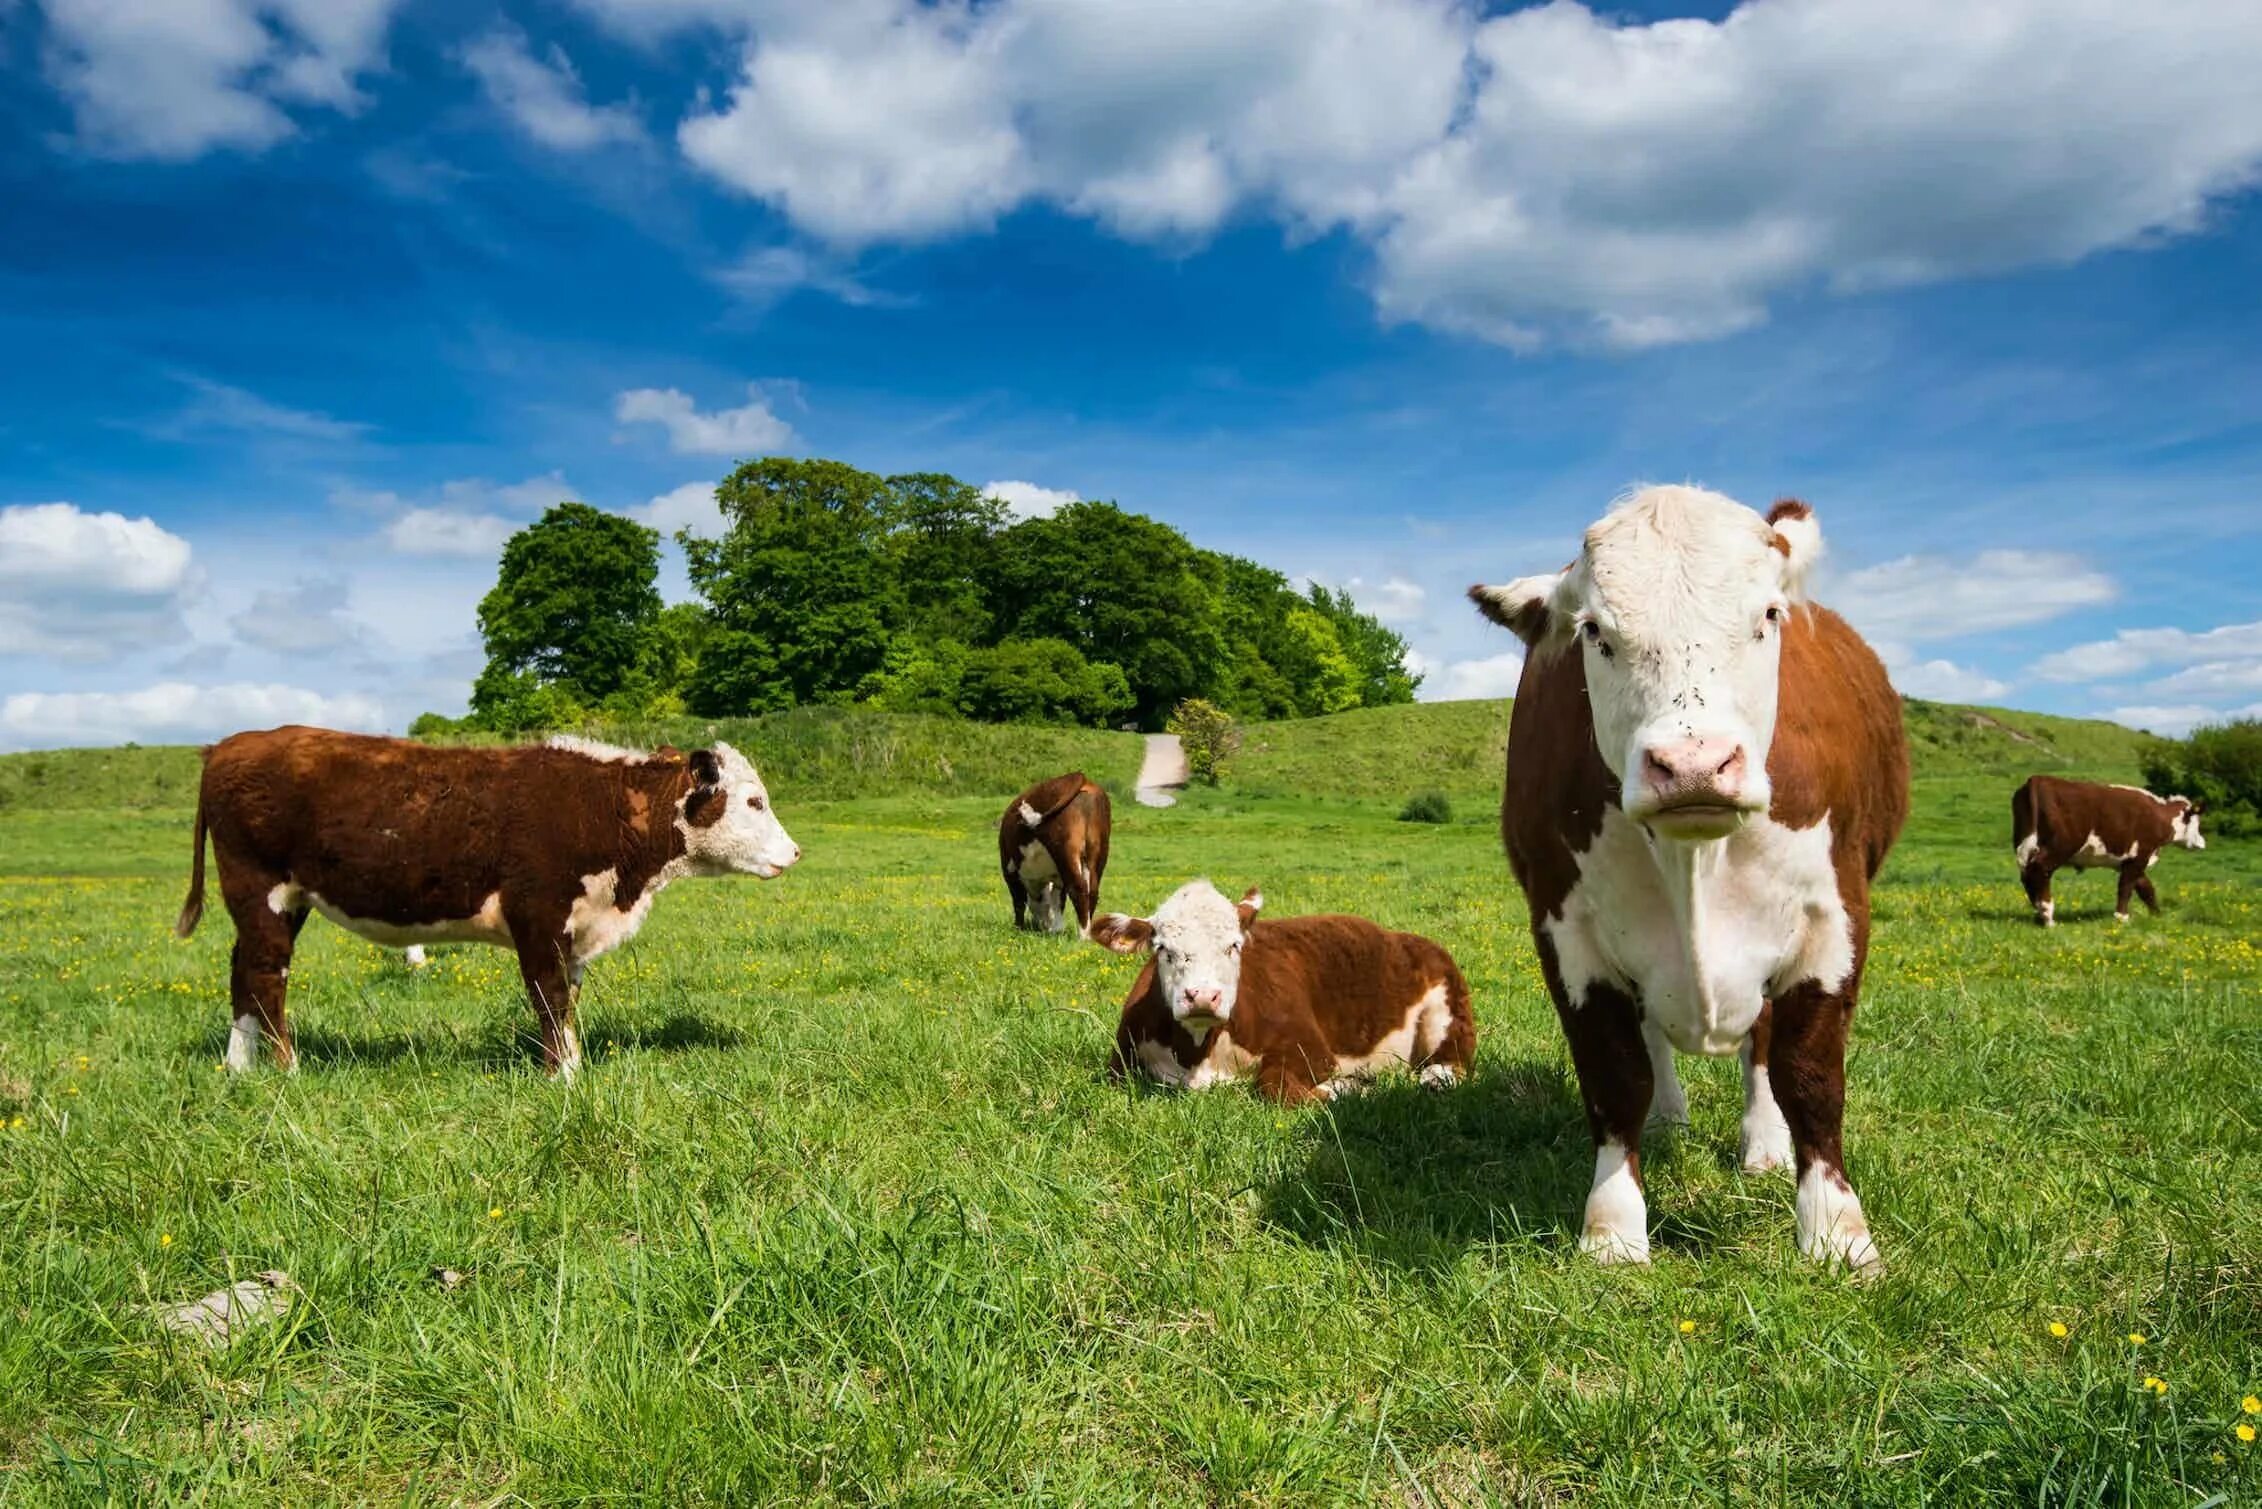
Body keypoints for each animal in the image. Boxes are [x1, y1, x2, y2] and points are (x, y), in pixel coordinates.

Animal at [176, 728, 800, 1072]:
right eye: (754, 801)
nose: (794, 852)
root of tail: (229, 745)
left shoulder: (574, 928)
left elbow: (567, 1000)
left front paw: (569, 1066)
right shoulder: (539, 915)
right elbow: (550, 997)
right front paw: (565, 1078)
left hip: (281, 901)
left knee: (242, 972)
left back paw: (239, 1069)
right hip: (260, 889)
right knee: (266, 976)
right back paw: (287, 1069)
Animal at [1008, 773, 1112, 936]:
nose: (1043, 925)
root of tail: (1079, 776)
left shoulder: (1009, 868)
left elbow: (1018, 901)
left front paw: (1018, 927)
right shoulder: (1058, 878)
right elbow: (1058, 900)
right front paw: (1056, 929)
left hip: (1065, 849)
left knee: (1078, 888)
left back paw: (1083, 935)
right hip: (1098, 851)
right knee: (1092, 890)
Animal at [1085, 877, 1474, 1104]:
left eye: (1234, 945)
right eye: (1163, 948)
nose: (1203, 997)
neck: (1198, 1056)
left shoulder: (1311, 1048)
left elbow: (1274, 1086)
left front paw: (1344, 1088)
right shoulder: (1118, 1060)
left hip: (1448, 1012)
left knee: (1453, 1063)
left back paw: (1433, 1079)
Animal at [1465, 486, 1909, 1275]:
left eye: (1768, 616)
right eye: (1594, 631)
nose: (1695, 765)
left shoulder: (1835, 919)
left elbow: (1809, 1075)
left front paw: (1835, 1231)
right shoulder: (1566, 932)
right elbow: (1616, 1078)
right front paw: (1613, 1230)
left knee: (1761, 1040)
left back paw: (1763, 1143)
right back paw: (1670, 1117)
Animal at [2008, 773, 2198, 927]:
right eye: (2196, 822)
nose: (2200, 843)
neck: (2159, 816)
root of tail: (2039, 779)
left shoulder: (2129, 861)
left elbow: (2146, 888)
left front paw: (2157, 915)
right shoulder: (2140, 856)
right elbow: (2126, 887)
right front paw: (2122, 918)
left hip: (2025, 844)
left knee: (2027, 874)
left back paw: (2039, 914)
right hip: (2060, 846)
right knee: (2040, 869)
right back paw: (2048, 917)